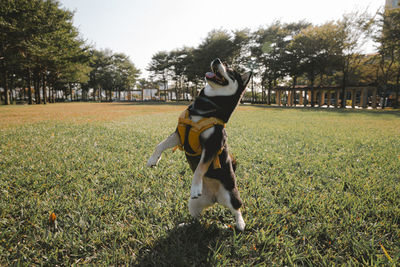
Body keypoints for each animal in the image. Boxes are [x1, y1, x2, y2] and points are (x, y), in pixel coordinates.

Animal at [147, 58, 252, 232]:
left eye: (230, 71)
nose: (216, 60)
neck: (205, 108)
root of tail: (215, 199)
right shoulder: (179, 135)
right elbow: (160, 145)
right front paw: (153, 160)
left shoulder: (211, 145)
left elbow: (200, 168)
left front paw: (195, 187)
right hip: (193, 203)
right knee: (197, 219)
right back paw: (186, 224)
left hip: (232, 196)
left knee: (237, 209)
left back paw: (240, 223)